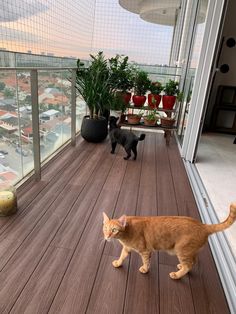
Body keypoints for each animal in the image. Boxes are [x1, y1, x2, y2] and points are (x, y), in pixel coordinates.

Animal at [103, 204, 236, 280]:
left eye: (114, 230)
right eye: (105, 229)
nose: (107, 236)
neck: (127, 231)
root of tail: (203, 225)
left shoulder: (145, 251)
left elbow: (146, 262)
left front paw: (145, 269)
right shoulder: (126, 248)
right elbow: (122, 256)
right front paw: (118, 263)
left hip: (181, 250)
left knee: (188, 265)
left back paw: (177, 275)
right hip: (190, 251)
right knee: (192, 262)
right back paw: (180, 267)